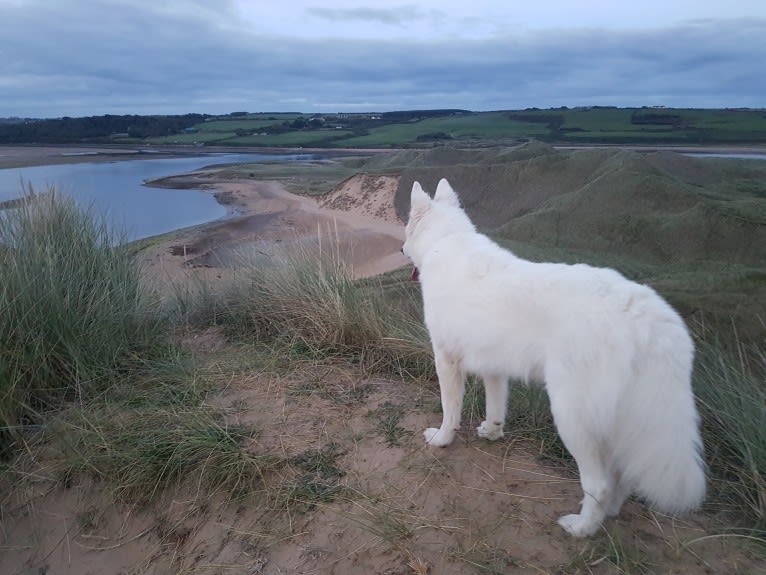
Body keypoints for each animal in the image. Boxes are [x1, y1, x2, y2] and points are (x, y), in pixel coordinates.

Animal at [402, 178, 708, 536]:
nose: (401, 250)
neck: (447, 241)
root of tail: (647, 316)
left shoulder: (446, 360)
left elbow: (450, 410)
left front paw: (442, 439)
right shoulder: (494, 367)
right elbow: (496, 406)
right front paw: (492, 432)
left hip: (571, 417)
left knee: (600, 483)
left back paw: (582, 528)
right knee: (622, 478)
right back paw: (609, 513)